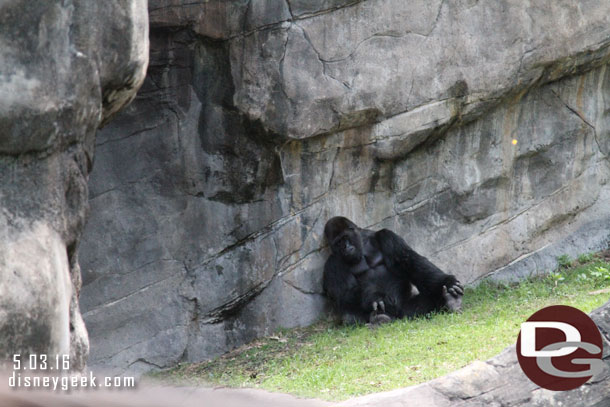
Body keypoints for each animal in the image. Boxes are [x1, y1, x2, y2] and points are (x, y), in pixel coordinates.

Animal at [324, 217, 460, 326]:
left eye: (345, 238)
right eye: (338, 243)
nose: (345, 247)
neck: (362, 244)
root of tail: (399, 318)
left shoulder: (386, 235)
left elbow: (409, 261)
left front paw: (448, 281)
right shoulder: (332, 263)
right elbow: (345, 293)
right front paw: (374, 297)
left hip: (406, 310)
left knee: (429, 296)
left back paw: (450, 302)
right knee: (349, 316)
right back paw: (378, 319)